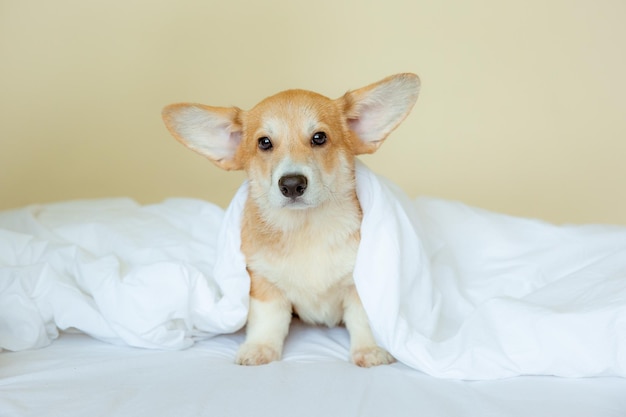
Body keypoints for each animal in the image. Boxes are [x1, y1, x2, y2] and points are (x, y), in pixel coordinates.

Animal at [161, 73, 420, 366]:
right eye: (264, 142)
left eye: (319, 137)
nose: (292, 184)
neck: (306, 228)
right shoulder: (263, 284)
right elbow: (268, 320)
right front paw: (260, 348)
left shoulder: (358, 284)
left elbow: (363, 318)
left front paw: (370, 350)